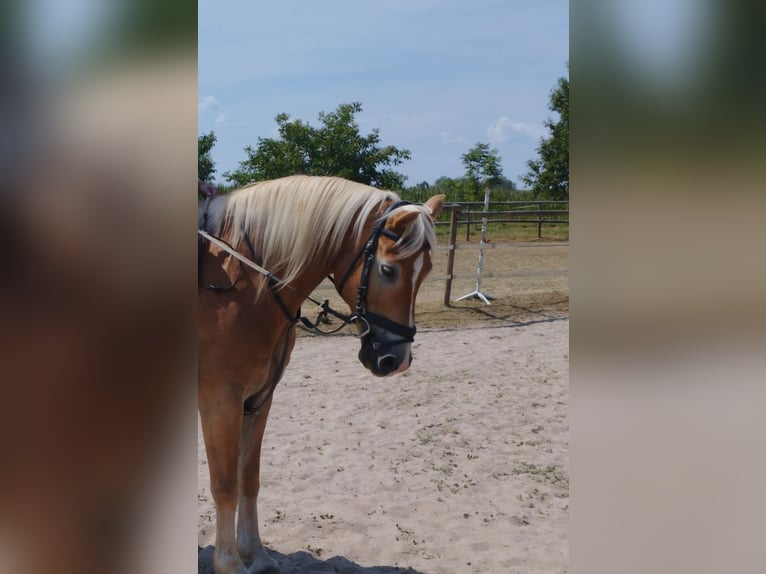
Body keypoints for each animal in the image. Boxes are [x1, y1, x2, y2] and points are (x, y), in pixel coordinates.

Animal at [198, 175, 445, 574]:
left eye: (426, 271)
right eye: (388, 270)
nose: (396, 360)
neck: (242, 286)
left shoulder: (258, 399)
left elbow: (248, 477)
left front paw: (256, 554)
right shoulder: (220, 401)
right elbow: (224, 486)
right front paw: (230, 564)